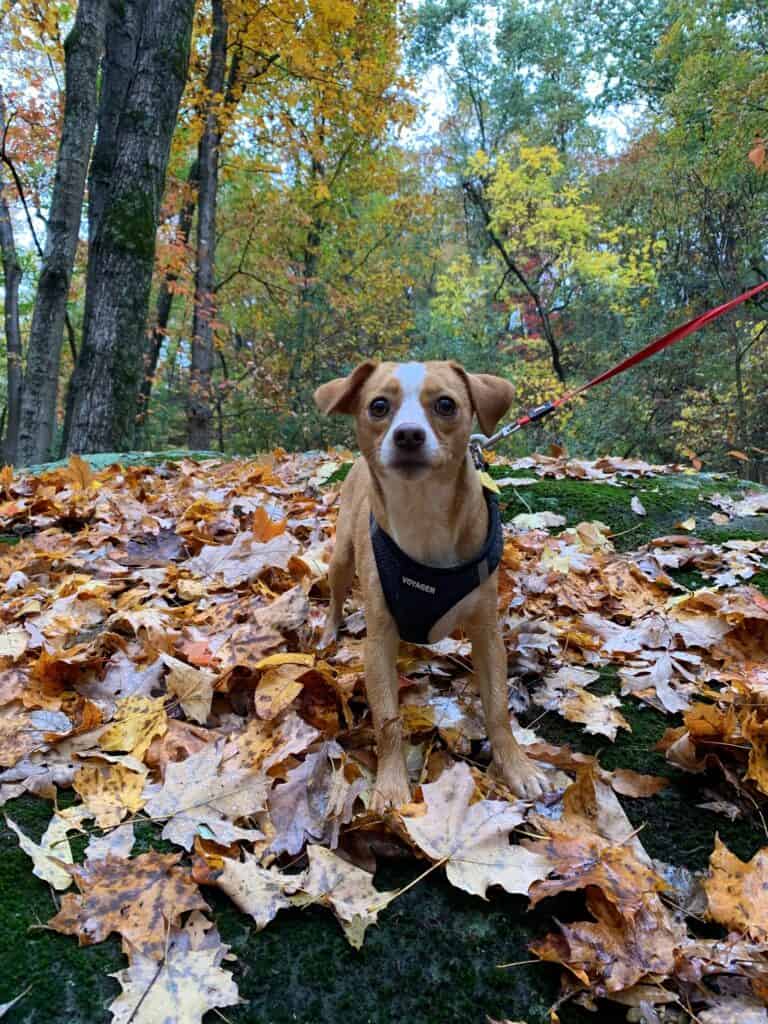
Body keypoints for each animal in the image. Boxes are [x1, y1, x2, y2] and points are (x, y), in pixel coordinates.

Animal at [315, 358, 548, 806]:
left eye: (445, 404)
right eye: (378, 406)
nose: (408, 434)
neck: (422, 514)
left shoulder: (487, 632)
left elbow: (497, 708)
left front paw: (516, 765)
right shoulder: (378, 640)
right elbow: (388, 719)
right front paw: (391, 784)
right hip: (342, 558)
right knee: (335, 594)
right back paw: (329, 630)